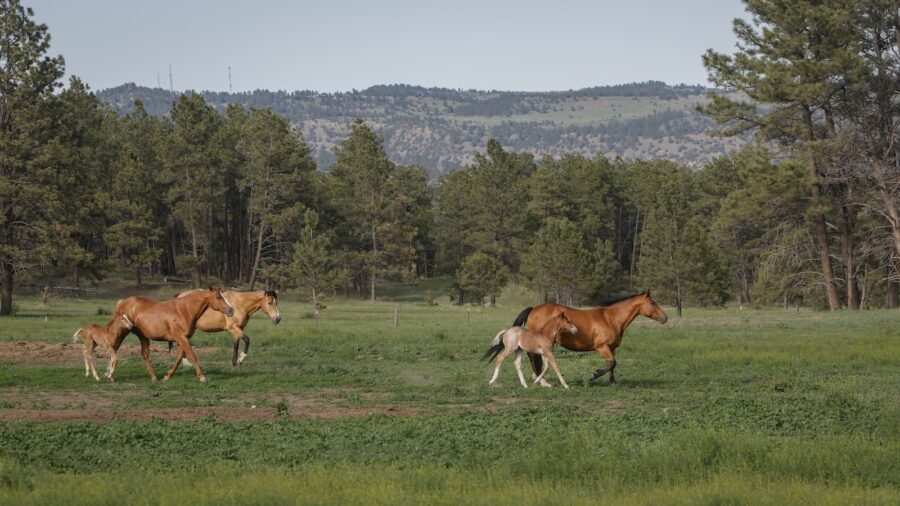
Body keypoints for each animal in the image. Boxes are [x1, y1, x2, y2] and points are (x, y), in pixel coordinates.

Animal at [512, 291, 668, 385]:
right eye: (652, 303)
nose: (665, 318)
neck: (611, 319)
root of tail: (534, 309)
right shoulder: (601, 347)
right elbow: (612, 363)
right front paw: (594, 375)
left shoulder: (612, 348)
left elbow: (612, 364)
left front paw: (612, 382)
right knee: (533, 357)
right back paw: (541, 380)